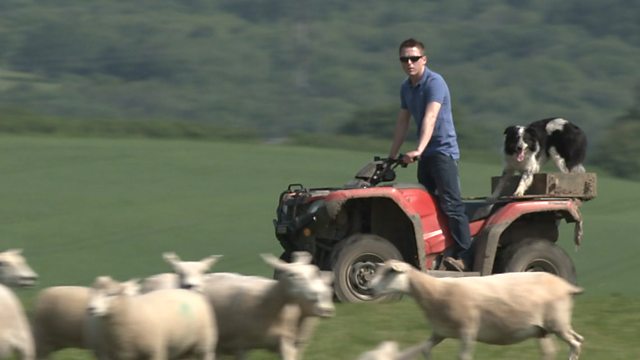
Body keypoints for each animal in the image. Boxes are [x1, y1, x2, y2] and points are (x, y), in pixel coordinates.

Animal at [86, 278, 216, 358]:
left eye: (111, 294)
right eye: (91, 293)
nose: (91, 308)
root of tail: (190, 293)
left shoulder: (155, 352)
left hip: (205, 345)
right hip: (183, 346)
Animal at [370, 260, 584, 360]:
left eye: (390, 272)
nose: (368, 287)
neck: (434, 292)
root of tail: (567, 286)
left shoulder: (468, 330)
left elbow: (463, 356)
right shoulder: (439, 332)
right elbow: (424, 349)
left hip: (557, 323)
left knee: (575, 343)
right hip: (545, 329)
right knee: (564, 345)